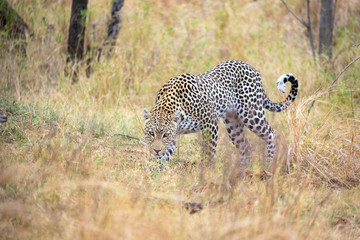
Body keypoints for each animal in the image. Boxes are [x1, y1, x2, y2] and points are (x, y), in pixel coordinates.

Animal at [143, 61, 298, 168]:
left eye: (165, 135)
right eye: (151, 133)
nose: (156, 150)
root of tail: (252, 68)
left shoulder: (210, 122)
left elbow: (209, 151)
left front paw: (207, 171)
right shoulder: (175, 133)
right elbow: (166, 155)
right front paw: (157, 172)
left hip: (251, 114)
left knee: (273, 133)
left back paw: (270, 162)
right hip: (233, 123)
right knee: (245, 146)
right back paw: (242, 170)